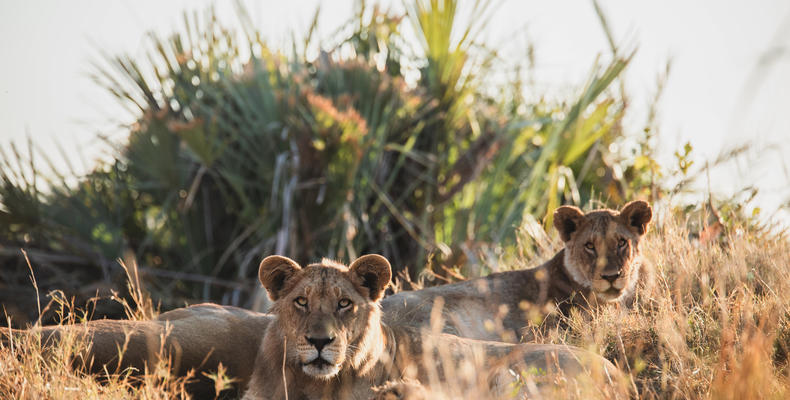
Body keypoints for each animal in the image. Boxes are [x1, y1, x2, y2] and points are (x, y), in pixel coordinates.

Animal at [241, 255, 632, 400]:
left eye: (344, 304)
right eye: (301, 302)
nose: (320, 341)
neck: (314, 384)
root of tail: (620, 375)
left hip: (509, 375)